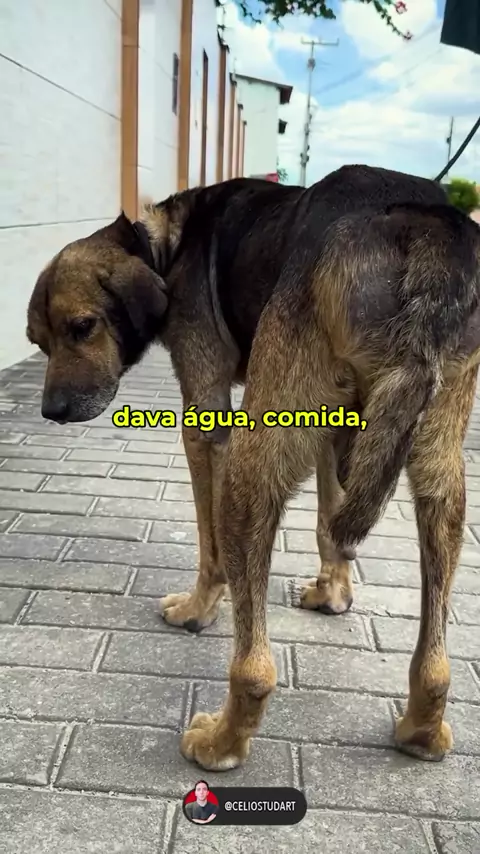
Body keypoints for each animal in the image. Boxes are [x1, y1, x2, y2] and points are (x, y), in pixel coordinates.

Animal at [26, 164, 480, 771]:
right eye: (38, 342)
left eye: (82, 326)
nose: (51, 412)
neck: (166, 243)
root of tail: (420, 228)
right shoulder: (335, 430)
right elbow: (329, 524)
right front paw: (333, 592)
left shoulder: (207, 421)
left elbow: (211, 548)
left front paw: (199, 607)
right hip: (439, 467)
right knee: (435, 660)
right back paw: (422, 729)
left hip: (250, 468)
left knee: (256, 668)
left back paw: (222, 741)